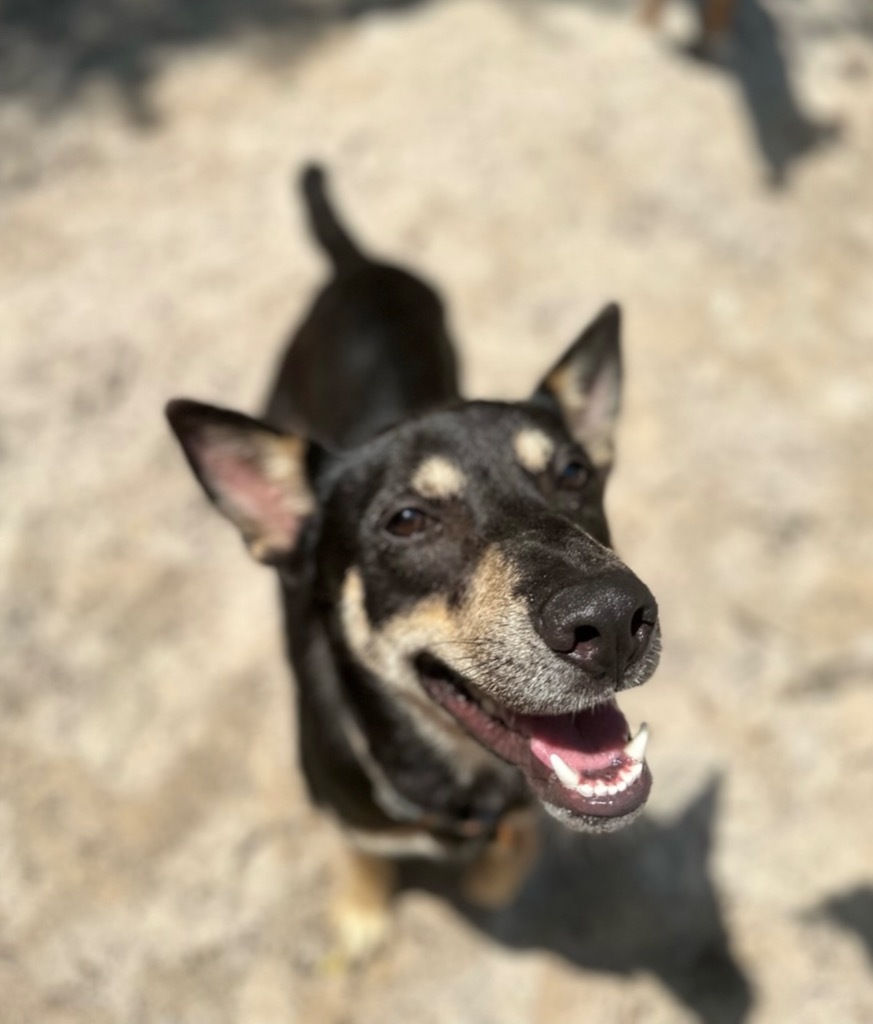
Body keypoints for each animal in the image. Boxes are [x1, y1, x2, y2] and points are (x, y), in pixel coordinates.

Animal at [164, 169, 659, 958]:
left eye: (574, 472)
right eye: (406, 520)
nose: (612, 620)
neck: (459, 785)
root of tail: (357, 266)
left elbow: (515, 848)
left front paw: (492, 874)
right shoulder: (349, 813)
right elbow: (364, 852)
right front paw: (363, 911)